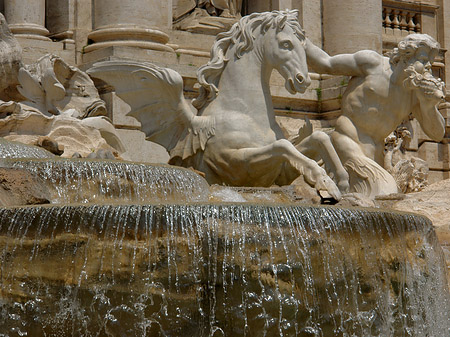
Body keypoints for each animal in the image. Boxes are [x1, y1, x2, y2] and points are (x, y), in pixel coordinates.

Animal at [88, 10, 342, 200]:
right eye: (286, 44)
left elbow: (319, 137)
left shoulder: (280, 174)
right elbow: (284, 146)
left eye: (304, 46)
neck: (244, 111)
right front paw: (325, 182)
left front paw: (340, 179)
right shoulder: (235, 164)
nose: (303, 80)